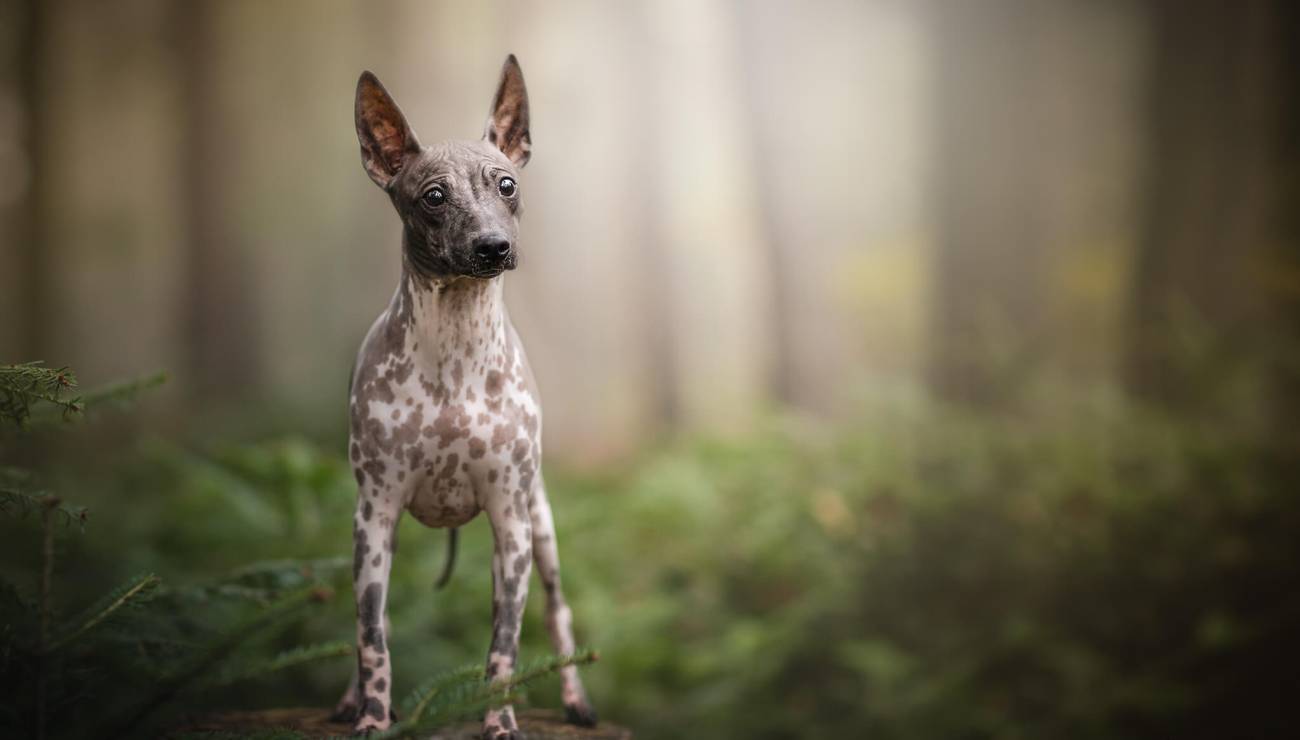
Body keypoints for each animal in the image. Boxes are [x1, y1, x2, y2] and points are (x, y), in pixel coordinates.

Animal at [335, 54, 598, 733]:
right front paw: (373, 719)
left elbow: (502, 646)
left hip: (541, 527)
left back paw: (576, 699)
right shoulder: (374, 516)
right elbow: (371, 635)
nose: (492, 247)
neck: (454, 353)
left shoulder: (510, 524)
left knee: (558, 612)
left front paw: (499, 722)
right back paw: (352, 699)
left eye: (506, 184)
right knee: (371, 620)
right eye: (434, 196)